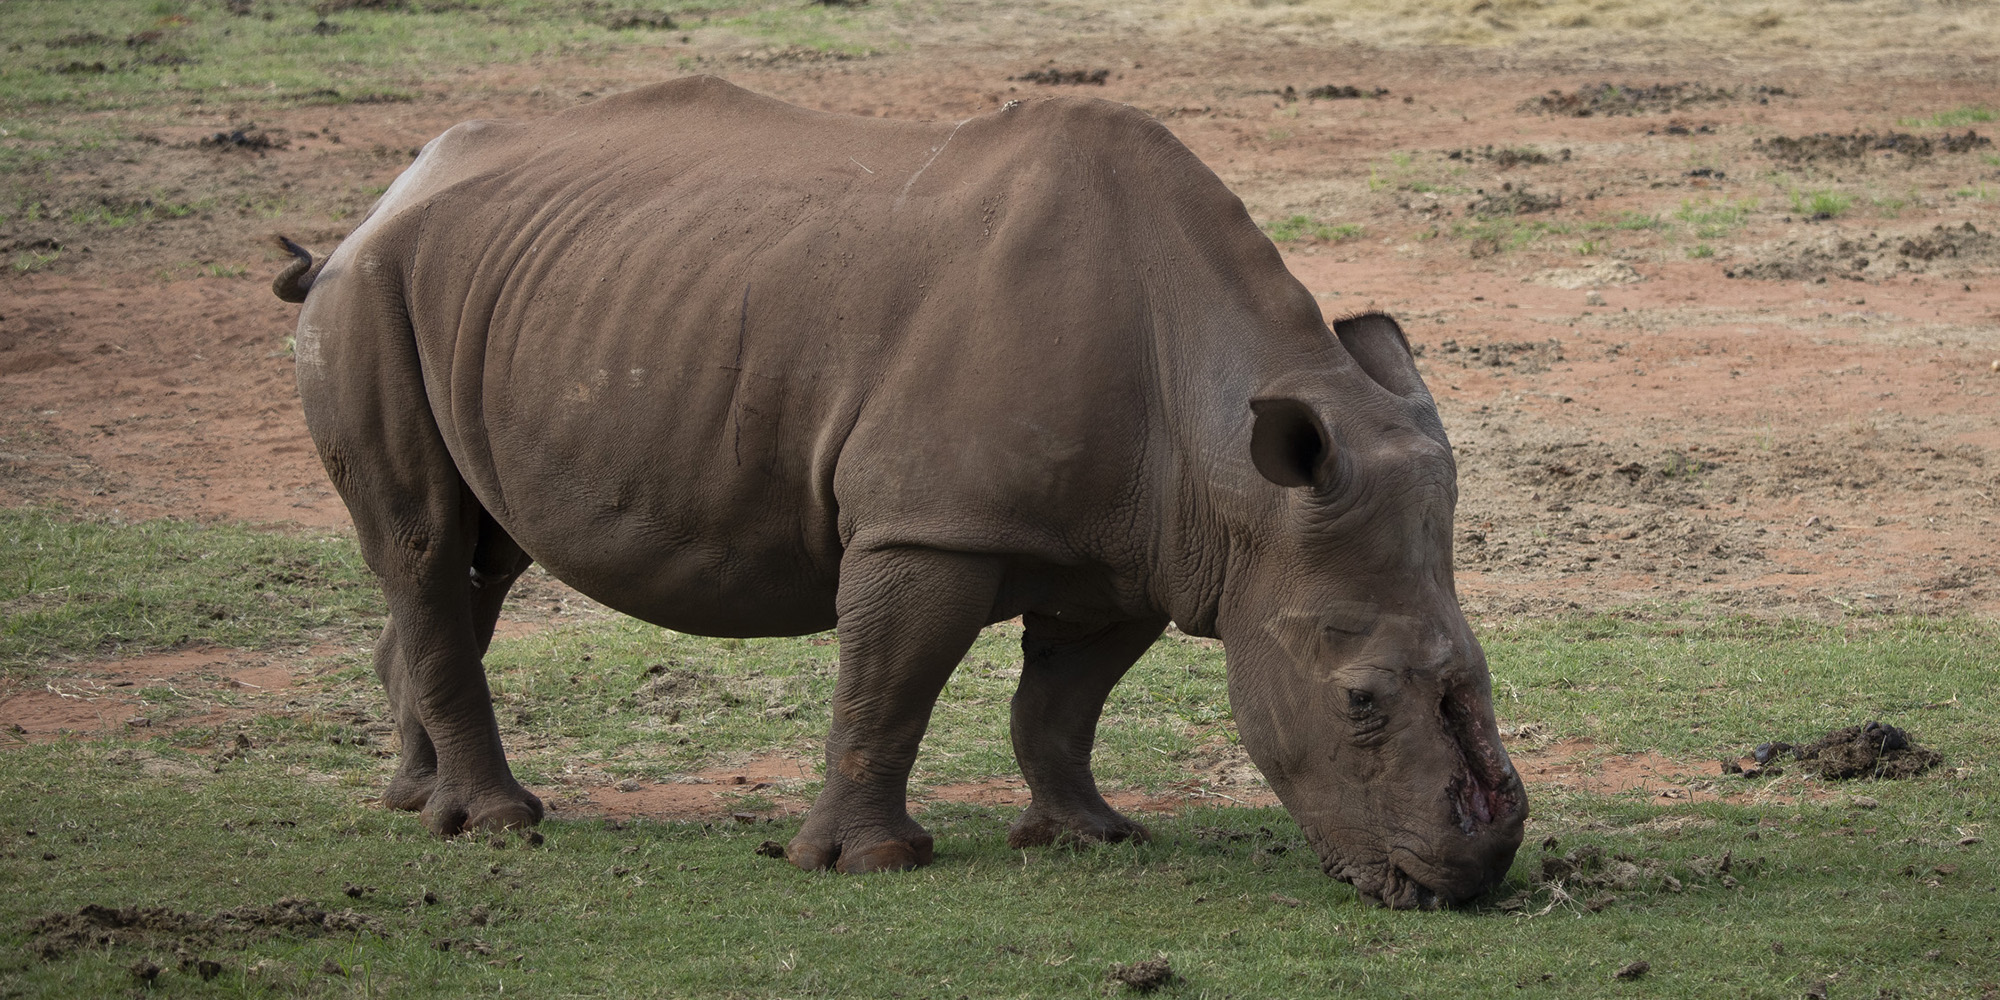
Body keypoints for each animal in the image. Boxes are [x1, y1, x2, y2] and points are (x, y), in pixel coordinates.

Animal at [271, 76, 1525, 908]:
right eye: (1360, 700)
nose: (1467, 877)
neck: (1231, 473)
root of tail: (373, 204)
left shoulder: (1140, 548)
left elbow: (1061, 702)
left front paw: (1087, 838)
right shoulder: (930, 527)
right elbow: (887, 683)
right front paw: (868, 862)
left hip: (502, 293)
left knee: (472, 558)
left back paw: (411, 801)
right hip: (369, 297)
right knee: (424, 545)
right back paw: (495, 823)